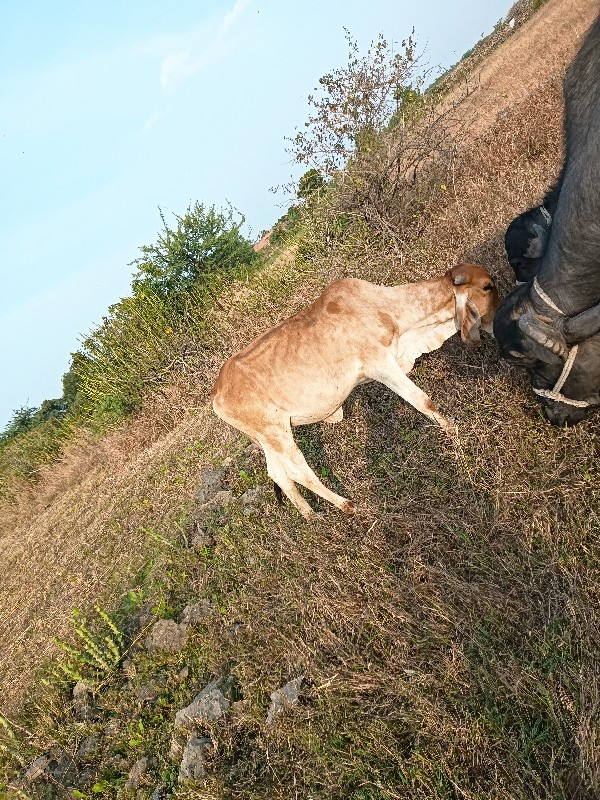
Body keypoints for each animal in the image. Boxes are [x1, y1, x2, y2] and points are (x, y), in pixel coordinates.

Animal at [211, 264, 496, 520]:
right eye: (487, 286)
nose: (496, 325)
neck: (387, 309)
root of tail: (216, 395)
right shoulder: (380, 364)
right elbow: (423, 401)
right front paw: (454, 433)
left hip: (267, 439)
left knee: (279, 474)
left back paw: (310, 515)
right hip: (276, 432)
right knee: (299, 470)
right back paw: (345, 505)